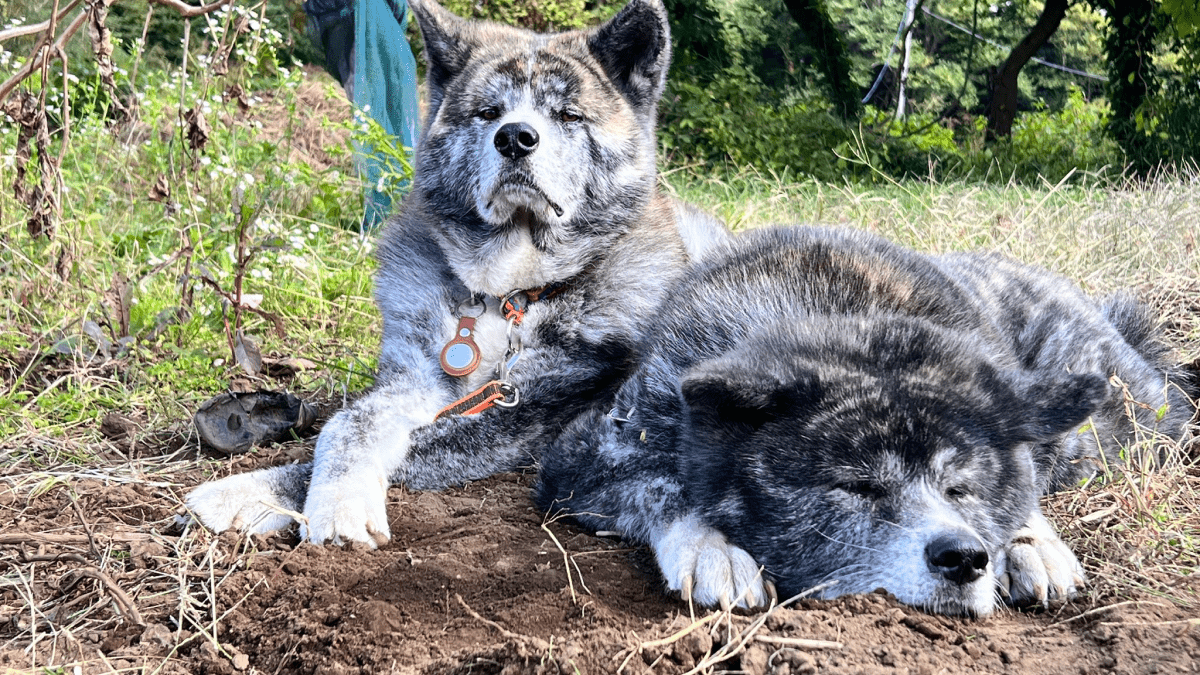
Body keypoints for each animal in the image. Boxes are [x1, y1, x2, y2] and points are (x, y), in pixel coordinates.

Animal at [181, 0, 720, 540]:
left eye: (569, 114)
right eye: (489, 112)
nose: (515, 138)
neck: (511, 292)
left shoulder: (530, 413)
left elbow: (420, 444)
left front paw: (272, 496)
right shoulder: (415, 377)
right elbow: (349, 424)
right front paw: (297, 492)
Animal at [540, 225, 1195, 614]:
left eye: (960, 488)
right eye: (858, 487)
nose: (964, 557)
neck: (838, 317)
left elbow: (1022, 488)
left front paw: (1030, 541)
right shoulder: (581, 459)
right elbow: (666, 487)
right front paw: (714, 548)